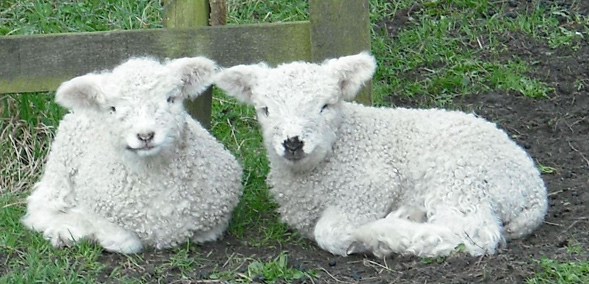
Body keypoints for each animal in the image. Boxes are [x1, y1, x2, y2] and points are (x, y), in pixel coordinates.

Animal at [22, 55, 243, 253]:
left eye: (170, 99)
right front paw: (81, 228)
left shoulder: (216, 221)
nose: (145, 135)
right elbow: (124, 242)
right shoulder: (102, 212)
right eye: (112, 108)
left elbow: (203, 234)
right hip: (60, 170)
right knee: (40, 208)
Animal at [215, 52, 548, 258]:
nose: (293, 143)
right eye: (265, 110)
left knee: (471, 235)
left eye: (325, 106)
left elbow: (330, 233)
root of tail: (535, 191)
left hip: (461, 180)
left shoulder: (371, 186)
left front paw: (371, 234)